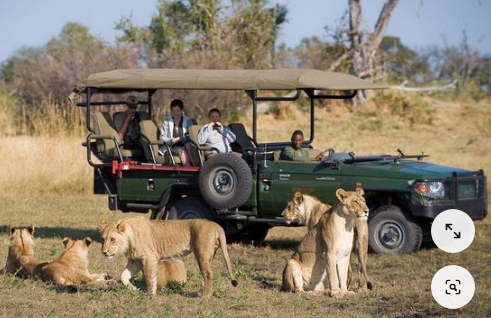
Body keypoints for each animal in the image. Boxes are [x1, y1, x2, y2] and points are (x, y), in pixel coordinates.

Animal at [99, 217, 238, 296]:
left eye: (112, 239)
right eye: (103, 239)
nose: (104, 252)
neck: (129, 238)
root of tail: (215, 224)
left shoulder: (149, 258)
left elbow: (150, 278)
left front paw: (150, 295)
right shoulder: (135, 261)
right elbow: (123, 276)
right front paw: (134, 289)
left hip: (202, 254)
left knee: (208, 274)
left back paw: (205, 296)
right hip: (209, 255)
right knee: (206, 274)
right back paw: (199, 293)